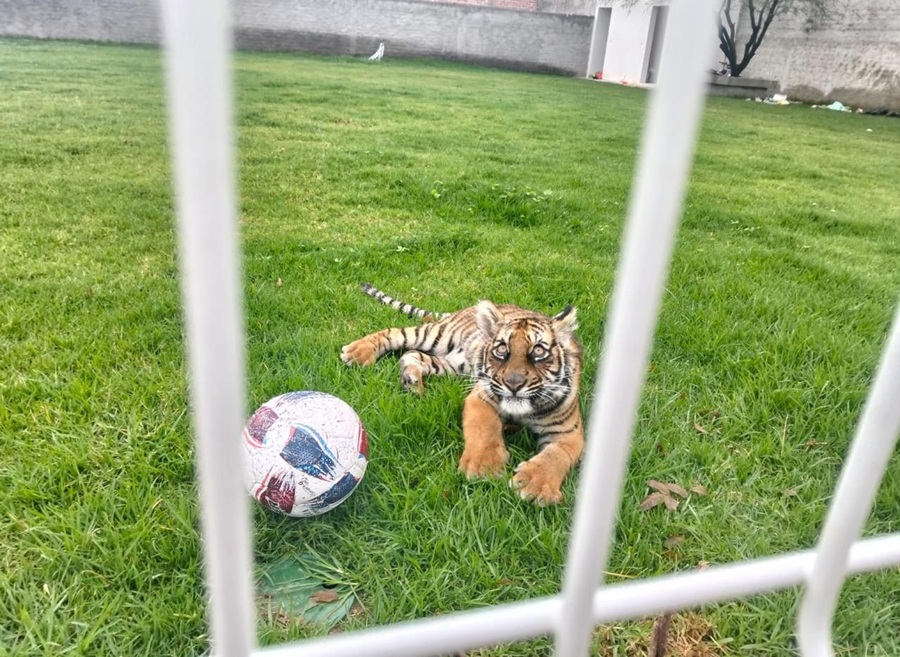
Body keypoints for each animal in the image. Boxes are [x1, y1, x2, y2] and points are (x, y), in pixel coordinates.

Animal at [340, 283, 584, 505]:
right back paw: (358, 352)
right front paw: (484, 466)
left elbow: (557, 455)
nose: (513, 384)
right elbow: (484, 429)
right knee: (395, 333)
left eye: (539, 351)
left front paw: (535, 485)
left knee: (412, 354)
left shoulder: (569, 432)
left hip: (449, 364)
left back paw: (412, 382)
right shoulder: (481, 398)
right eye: (501, 349)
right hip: (435, 335)